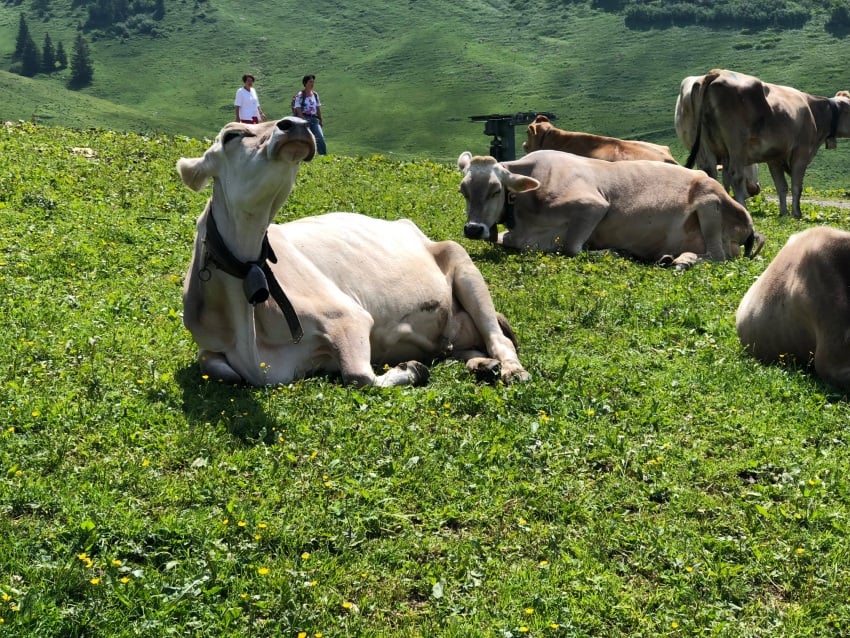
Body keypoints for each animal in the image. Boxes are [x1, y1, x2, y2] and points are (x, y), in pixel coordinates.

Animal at [176, 119, 528, 390]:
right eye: (231, 135)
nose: (296, 124)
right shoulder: (216, 352)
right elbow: (216, 366)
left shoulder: (347, 317)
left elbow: (359, 375)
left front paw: (411, 368)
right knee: (462, 346)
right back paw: (482, 364)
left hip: (463, 263)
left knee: (498, 338)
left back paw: (511, 369)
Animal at [458, 151, 760, 272]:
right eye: (463, 190)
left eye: (496, 190)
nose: (472, 229)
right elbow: (502, 240)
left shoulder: (592, 205)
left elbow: (571, 248)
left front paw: (613, 251)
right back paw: (668, 257)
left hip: (709, 203)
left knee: (718, 256)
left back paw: (683, 260)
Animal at [684, 69, 848, 219]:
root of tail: (717, 72)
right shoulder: (801, 153)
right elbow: (797, 186)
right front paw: (797, 213)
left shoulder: (775, 157)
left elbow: (781, 186)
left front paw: (784, 212)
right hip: (737, 145)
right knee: (736, 176)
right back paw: (743, 208)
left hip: (706, 146)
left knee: (710, 174)